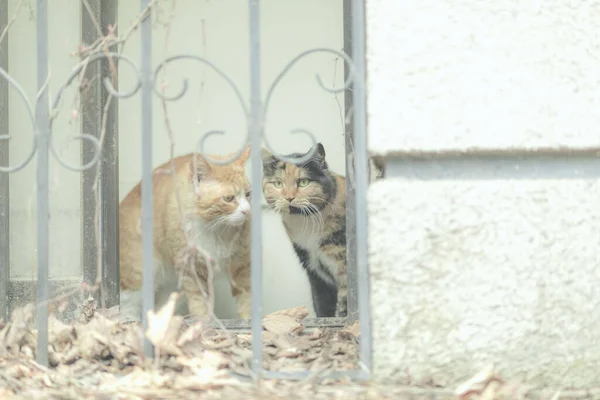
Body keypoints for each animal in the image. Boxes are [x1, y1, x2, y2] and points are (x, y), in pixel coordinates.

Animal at [118, 147, 252, 322]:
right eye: (229, 198)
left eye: (248, 194)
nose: (247, 211)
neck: (216, 228)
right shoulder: (192, 269)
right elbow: (199, 300)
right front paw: (203, 321)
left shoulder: (241, 265)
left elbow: (246, 296)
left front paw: (249, 319)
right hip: (139, 271)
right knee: (127, 303)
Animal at [262, 142, 346, 318]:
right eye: (278, 183)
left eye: (303, 182)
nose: (288, 197)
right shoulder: (314, 270)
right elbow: (322, 303)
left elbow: (344, 302)